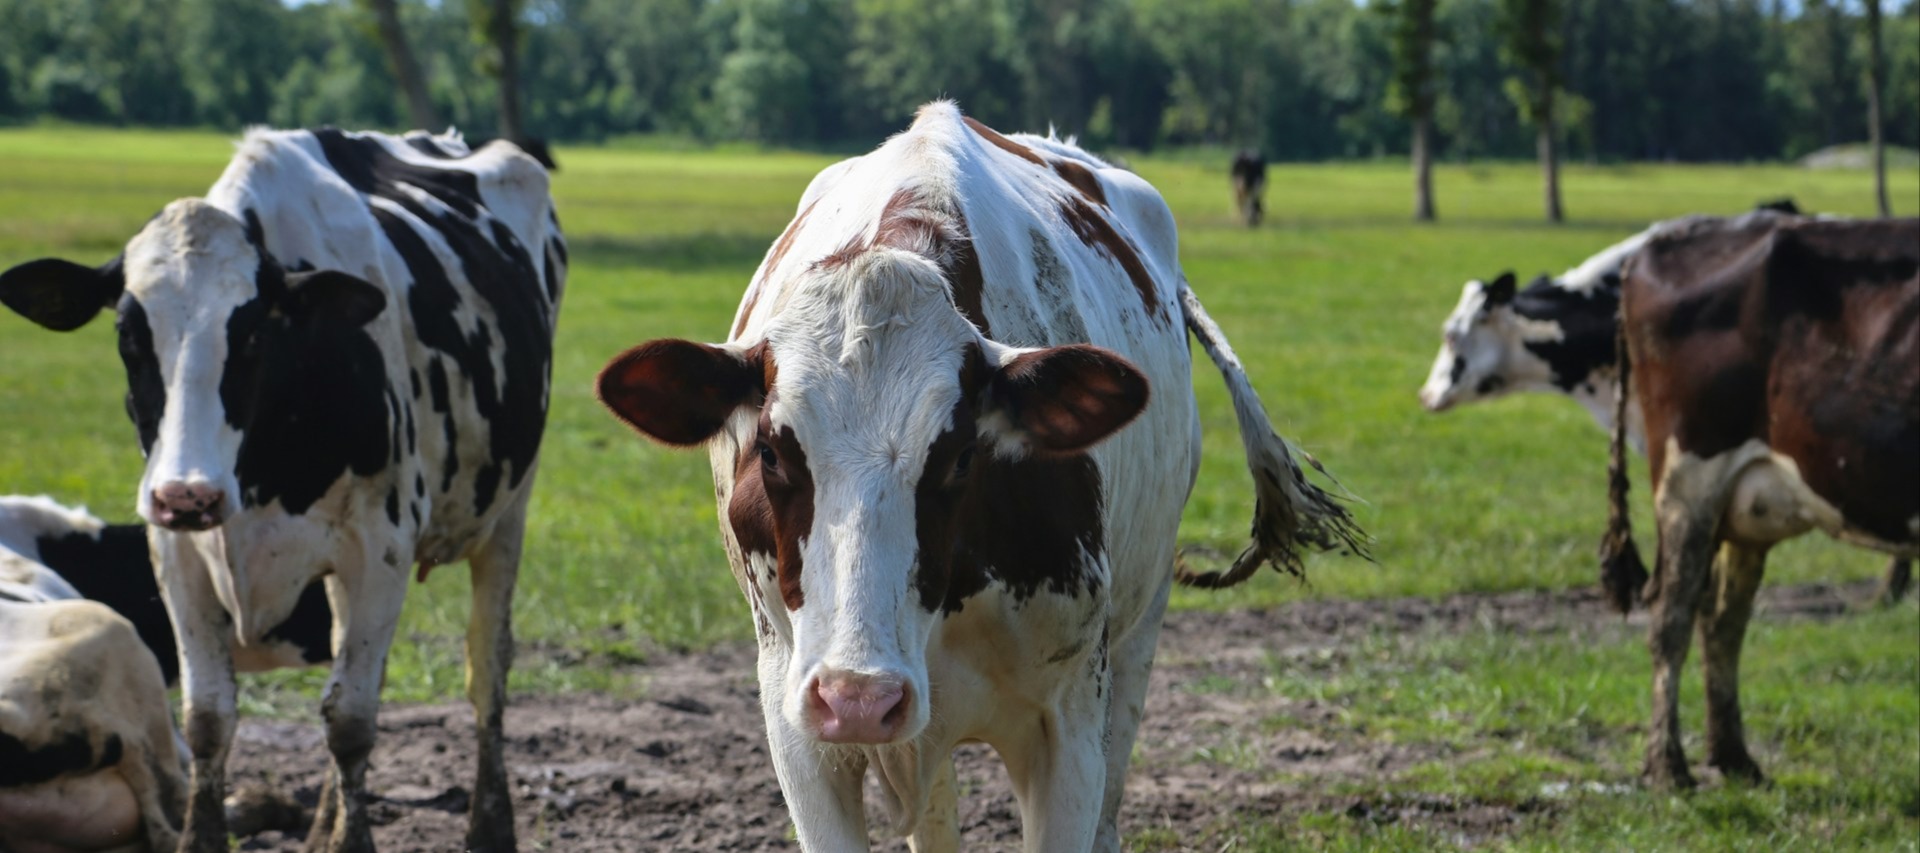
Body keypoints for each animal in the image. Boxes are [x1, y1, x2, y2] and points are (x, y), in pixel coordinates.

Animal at [1597, 216, 1912, 791]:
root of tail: (1666, 237)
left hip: (1745, 507)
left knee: (1723, 618)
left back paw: (1734, 758)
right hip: (1690, 478)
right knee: (1672, 616)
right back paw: (1668, 766)